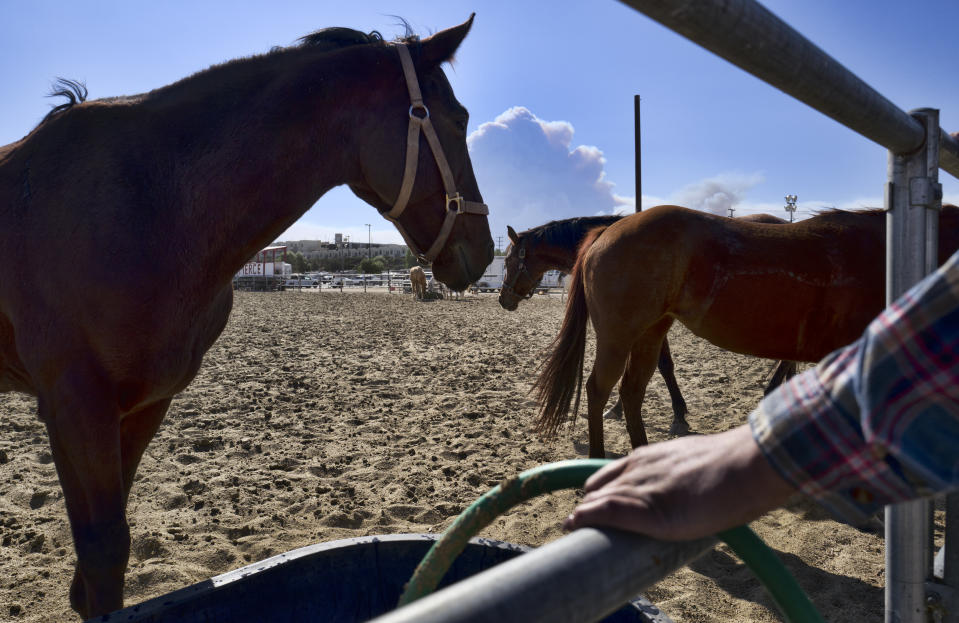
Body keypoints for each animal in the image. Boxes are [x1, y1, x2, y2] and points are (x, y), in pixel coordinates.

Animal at [0, 15, 492, 620]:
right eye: (458, 119)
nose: (486, 248)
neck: (148, 203)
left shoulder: (142, 403)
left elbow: (100, 564)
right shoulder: (74, 406)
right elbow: (101, 552)